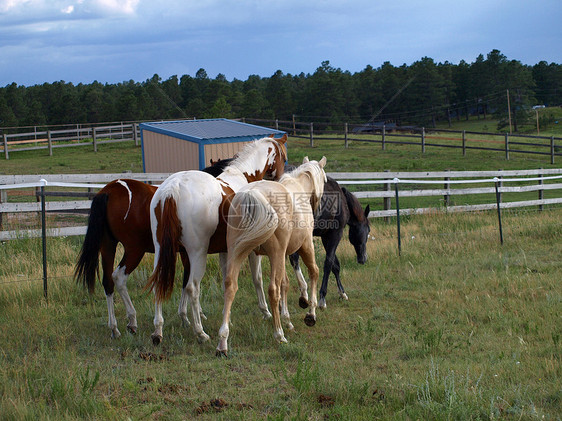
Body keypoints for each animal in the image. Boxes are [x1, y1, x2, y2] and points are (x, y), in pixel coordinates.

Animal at [147, 135, 286, 344]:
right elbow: (257, 279)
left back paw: (158, 330)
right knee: (192, 288)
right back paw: (200, 332)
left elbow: (226, 282)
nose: (280, 180)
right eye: (283, 158)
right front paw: (266, 312)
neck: (243, 176)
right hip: (197, 254)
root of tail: (172, 189)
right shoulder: (251, 251)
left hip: (162, 251)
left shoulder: (225, 251)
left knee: (160, 284)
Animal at [215, 156, 328, 356]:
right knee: (272, 290)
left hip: (237, 252)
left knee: (230, 286)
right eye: (325, 179)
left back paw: (223, 341)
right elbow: (312, 272)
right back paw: (279, 334)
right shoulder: (304, 246)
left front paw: (287, 319)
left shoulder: (278, 256)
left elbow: (285, 283)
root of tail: (251, 195)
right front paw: (310, 313)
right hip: (276, 253)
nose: (318, 205)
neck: (299, 188)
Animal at [286, 175, 370, 308]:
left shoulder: (325, 236)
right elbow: (329, 263)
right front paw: (322, 297)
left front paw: (342, 293)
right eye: (368, 230)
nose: (363, 258)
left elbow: (335, 265)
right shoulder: (335, 234)